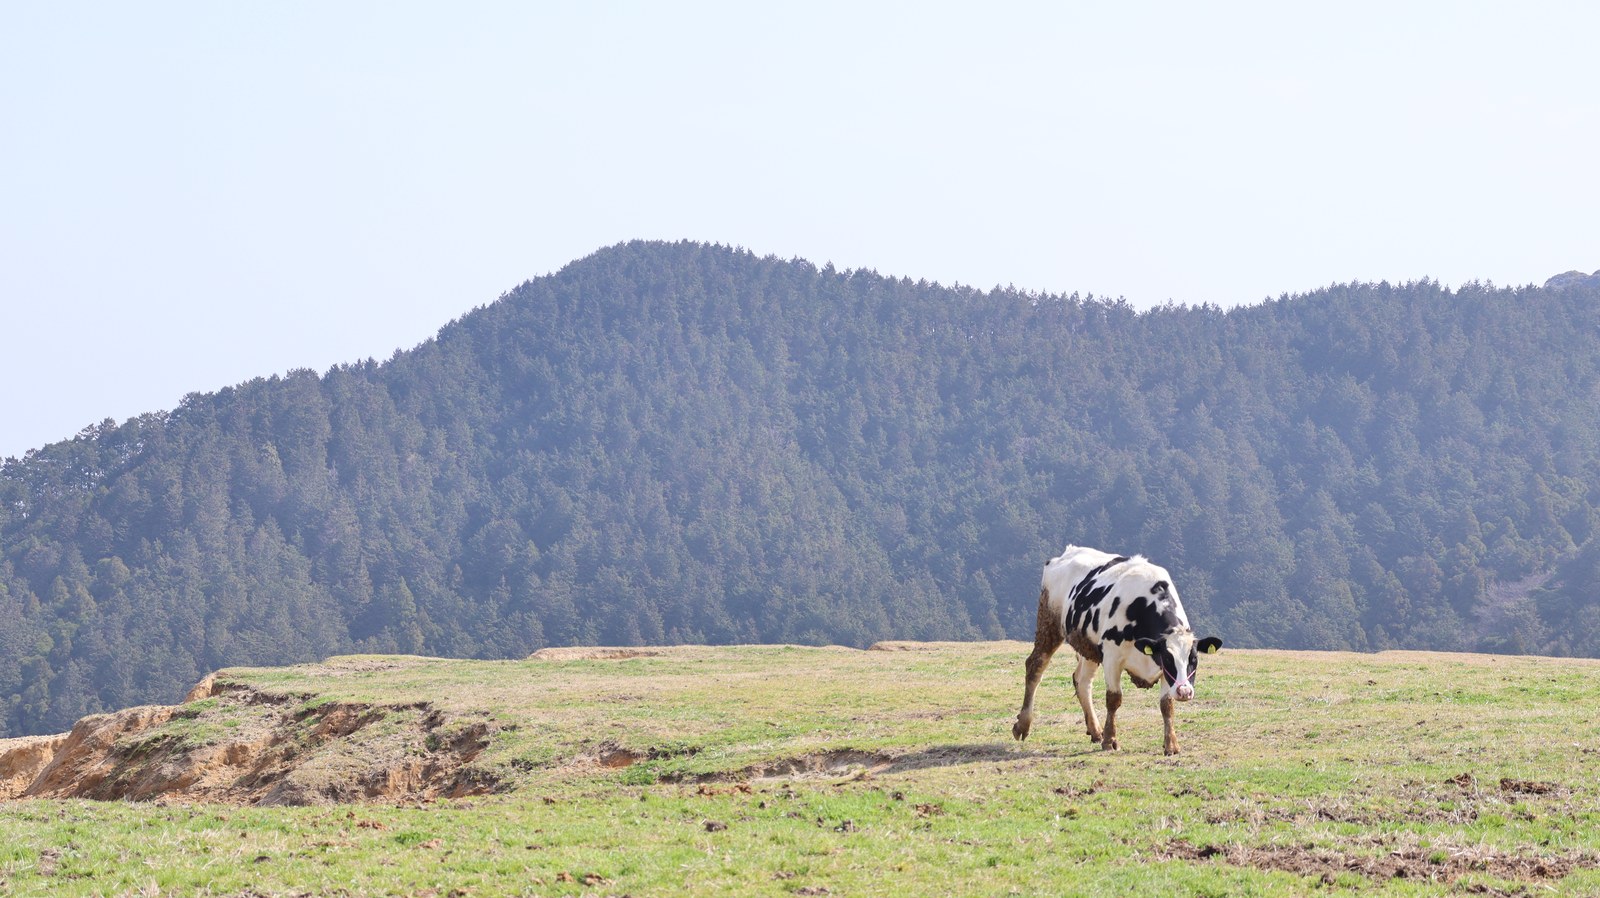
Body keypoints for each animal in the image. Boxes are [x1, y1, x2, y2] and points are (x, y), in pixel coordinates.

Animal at [1011, 545, 1221, 755]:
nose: (1184, 692)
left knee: (1082, 681)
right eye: (1168, 658)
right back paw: (1023, 725)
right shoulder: (1112, 656)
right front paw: (1110, 740)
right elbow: (1114, 699)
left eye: (1194, 659)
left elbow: (1166, 705)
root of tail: (1068, 552)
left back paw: (1095, 730)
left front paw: (1171, 744)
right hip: (1049, 623)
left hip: (1088, 645)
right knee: (1035, 667)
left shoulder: (1163, 672)